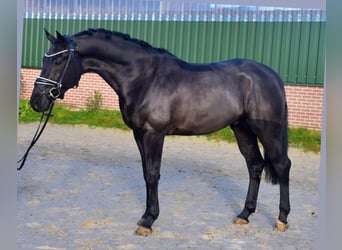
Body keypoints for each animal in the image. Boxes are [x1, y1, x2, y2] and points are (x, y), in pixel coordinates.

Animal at [30, 28, 292, 235]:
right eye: (45, 58)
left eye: (59, 60)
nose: (36, 102)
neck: (144, 77)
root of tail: (272, 75)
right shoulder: (138, 134)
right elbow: (146, 173)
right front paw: (146, 216)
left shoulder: (154, 134)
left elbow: (153, 174)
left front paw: (148, 221)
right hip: (242, 129)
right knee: (255, 165)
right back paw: (244, 214)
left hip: (268, 131)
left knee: (282, 165)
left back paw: (282, 219)